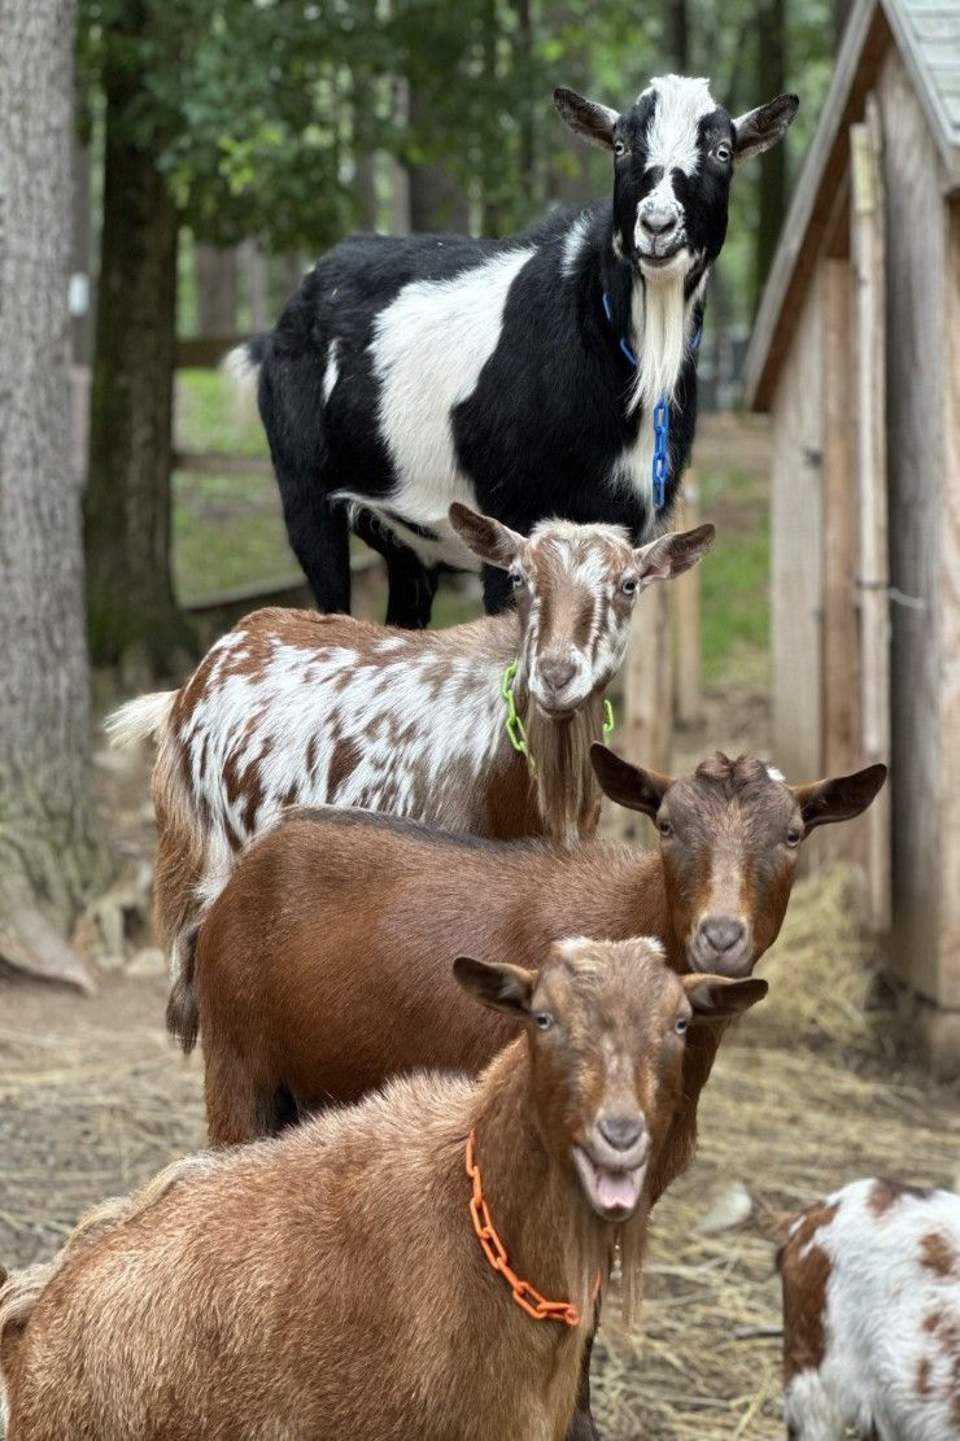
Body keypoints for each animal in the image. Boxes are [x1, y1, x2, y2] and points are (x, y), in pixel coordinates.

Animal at [228, 76, 797, 625]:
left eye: (723, 151)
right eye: (620, 146)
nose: (657, 225)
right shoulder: (511, 516)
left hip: (403, 539)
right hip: (303, 489)